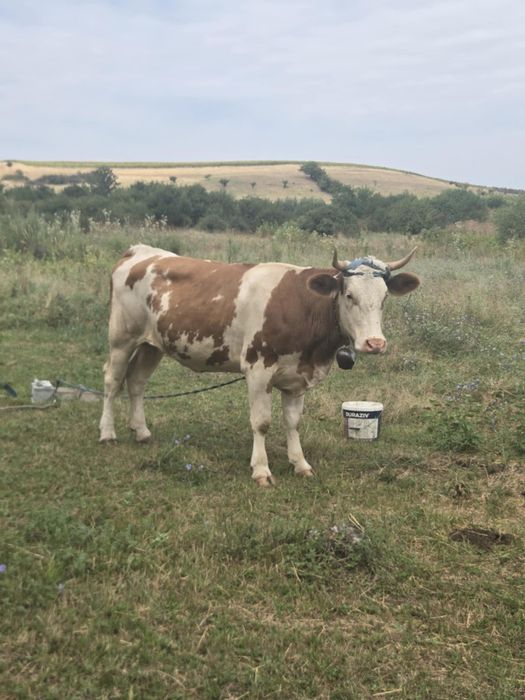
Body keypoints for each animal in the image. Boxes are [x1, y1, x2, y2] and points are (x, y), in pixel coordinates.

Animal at [99, 244, 420, 485]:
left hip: (152, 344)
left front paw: (300, 463)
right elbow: (261, 422)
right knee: (113, 382)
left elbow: (293, 421)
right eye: (349, 295)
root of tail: (141, 251)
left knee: (136, 382)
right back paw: (107, 433)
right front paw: (261, 470)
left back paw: (142, 432)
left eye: (384, 297)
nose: (374, 343)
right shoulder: (257, 370)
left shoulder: (297, 376)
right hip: (122, 337)